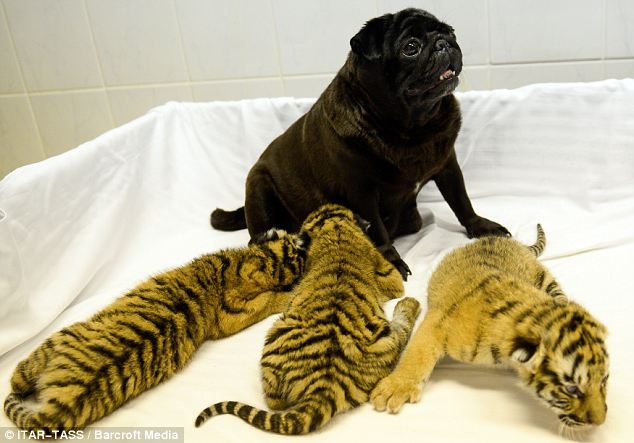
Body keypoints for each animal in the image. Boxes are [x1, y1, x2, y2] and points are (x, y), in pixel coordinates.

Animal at [212, 8, 508, 280]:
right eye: (411, 47)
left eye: (451, 32)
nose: (444, 42)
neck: (411, 126)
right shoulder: (361, 192)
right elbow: (378, 231)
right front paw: (391, 260)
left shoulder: (447, 166)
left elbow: (461, 201)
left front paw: (480, 227)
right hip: (259, 186)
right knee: (256, 238)